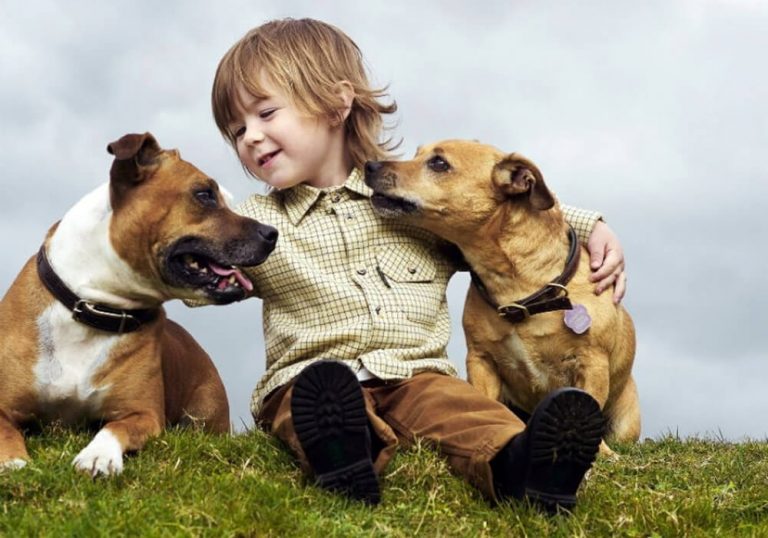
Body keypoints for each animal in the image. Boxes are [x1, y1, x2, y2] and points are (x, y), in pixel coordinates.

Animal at [0, 133, 276, 474]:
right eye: (204, 195)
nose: (272, 233)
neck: (94, 306)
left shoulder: (143, 413)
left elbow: (114, 428)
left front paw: (98, 455)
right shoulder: (3, 405)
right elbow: (5, 431)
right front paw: (12, 462)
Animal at [364, 140, 640, 450]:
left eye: (439, 163)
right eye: (417, 154)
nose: (369, 165)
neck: (518, 288)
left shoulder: (591, 362)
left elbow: (589, 405)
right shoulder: (481, 361)